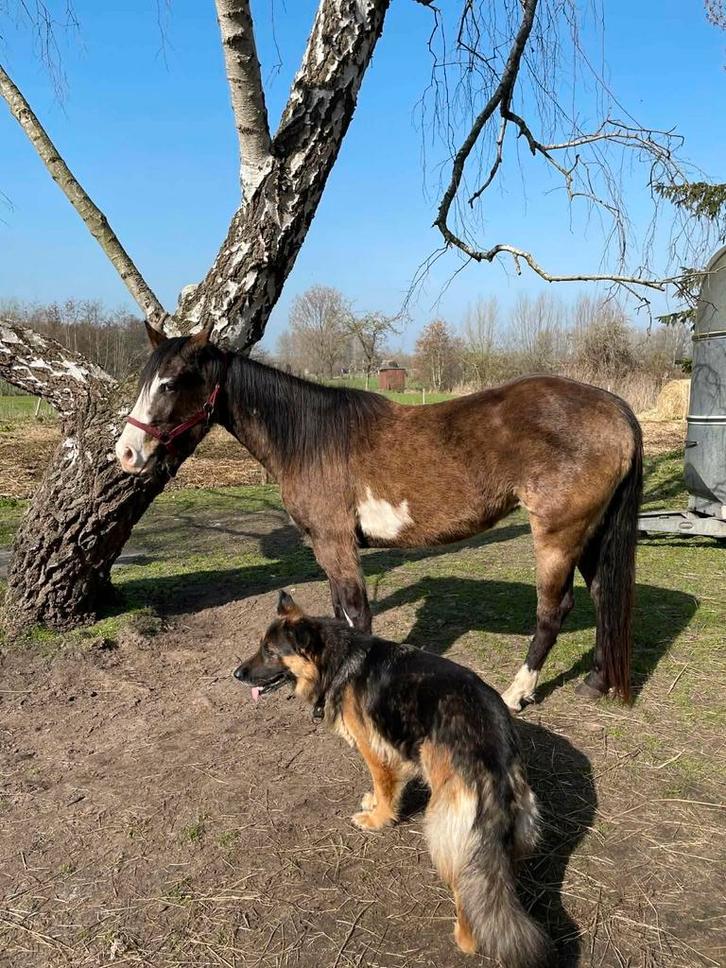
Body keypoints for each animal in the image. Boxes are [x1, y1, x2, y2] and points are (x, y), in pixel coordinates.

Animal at [115, 321, 643, 712]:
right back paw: (596, 681)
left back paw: (517, 693)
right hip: (589, 533)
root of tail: (614, 407)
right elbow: (337, 613)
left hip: (557, 535)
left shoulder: (336, 543)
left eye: (169, 383)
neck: (310, 439)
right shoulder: (326, 547)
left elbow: (356, 614)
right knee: (602, 596)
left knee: (553, 611)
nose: (126, 454)